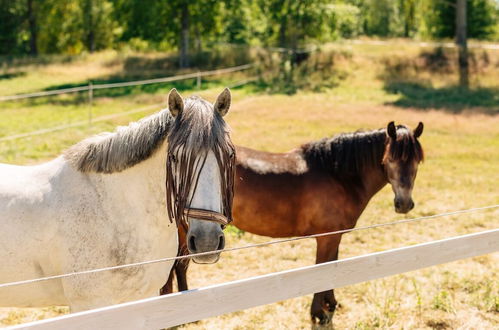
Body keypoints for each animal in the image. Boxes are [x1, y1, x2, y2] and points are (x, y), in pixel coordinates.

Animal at [0, 88, 236, 312]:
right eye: (175, 157)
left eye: (229, 155)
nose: (207, 242)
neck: (114, 209)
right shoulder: (89, 303)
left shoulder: (145, 296)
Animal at [161, 120, 426, 324]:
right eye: (390, 160)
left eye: (417, 162)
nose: (404, 203)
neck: (337, 176)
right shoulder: (326, 238)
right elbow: (323, 268)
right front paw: (319, 313)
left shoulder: (334, 236)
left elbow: (333, 266)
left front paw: (331, 303)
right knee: (174, 269)